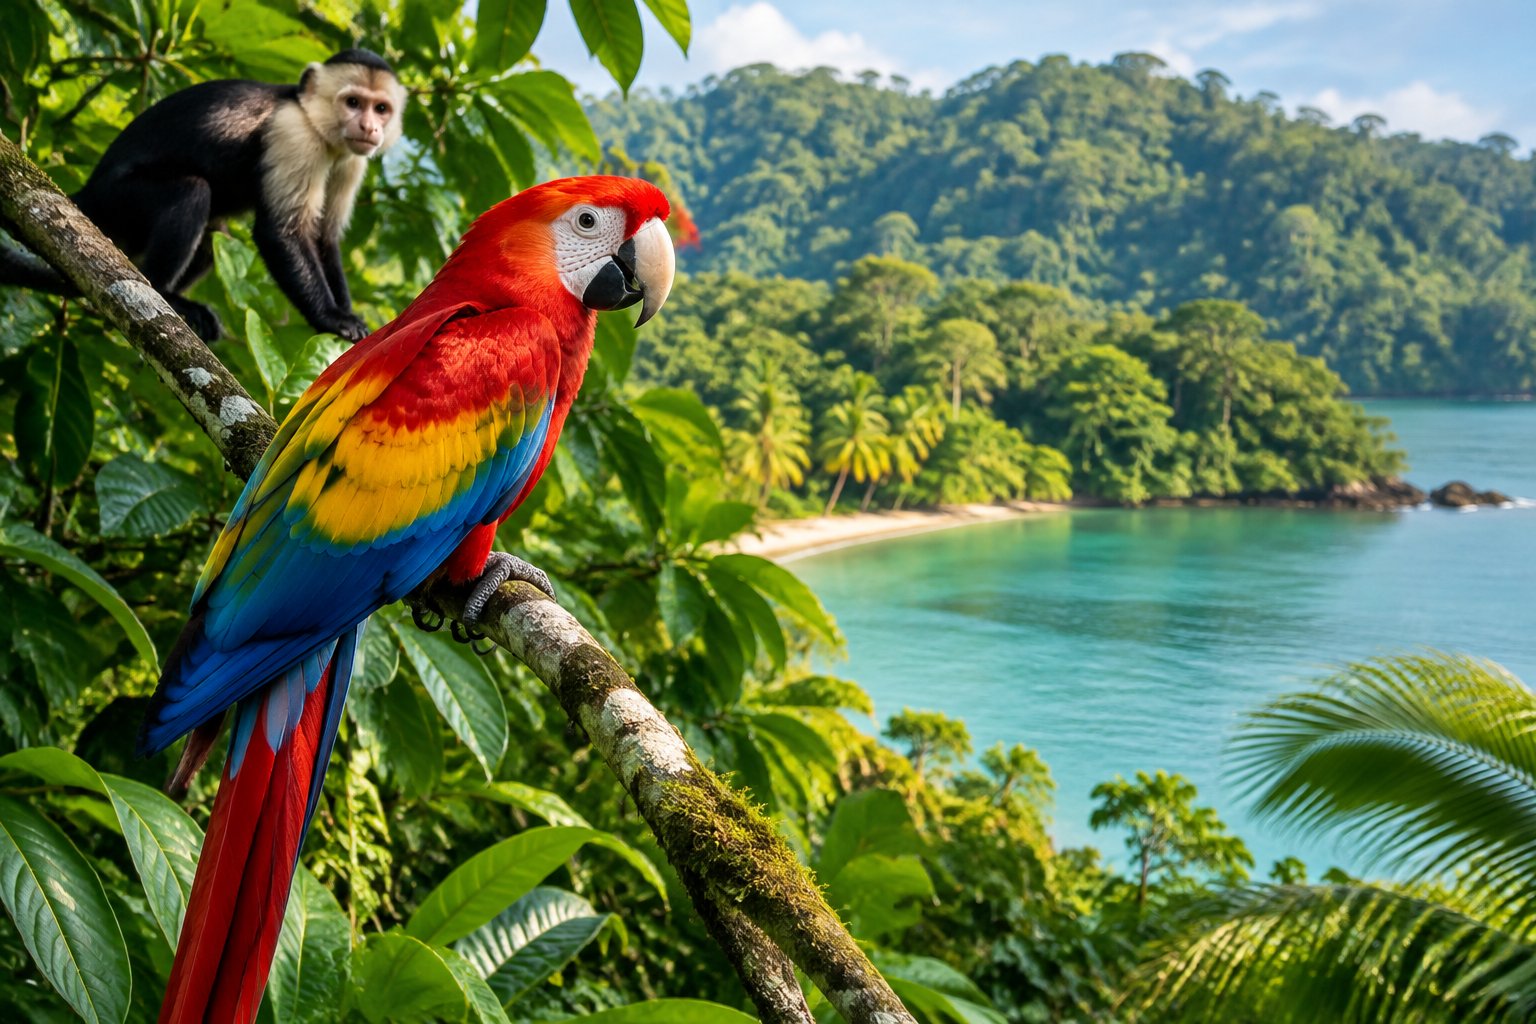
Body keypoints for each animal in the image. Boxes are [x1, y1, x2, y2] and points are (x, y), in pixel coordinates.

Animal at [0, 49, 406, 342]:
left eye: (381, 109)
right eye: (353, 103)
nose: (369, 127)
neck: (318, 125)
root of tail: (87, 191)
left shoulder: (352, 161)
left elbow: (324, 238)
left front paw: (353, 321)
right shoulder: (294, 133)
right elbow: (280, 231)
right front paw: (332, 318)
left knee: (214, 237)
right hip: (115, 198)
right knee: (192, 194)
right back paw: (165, 295)